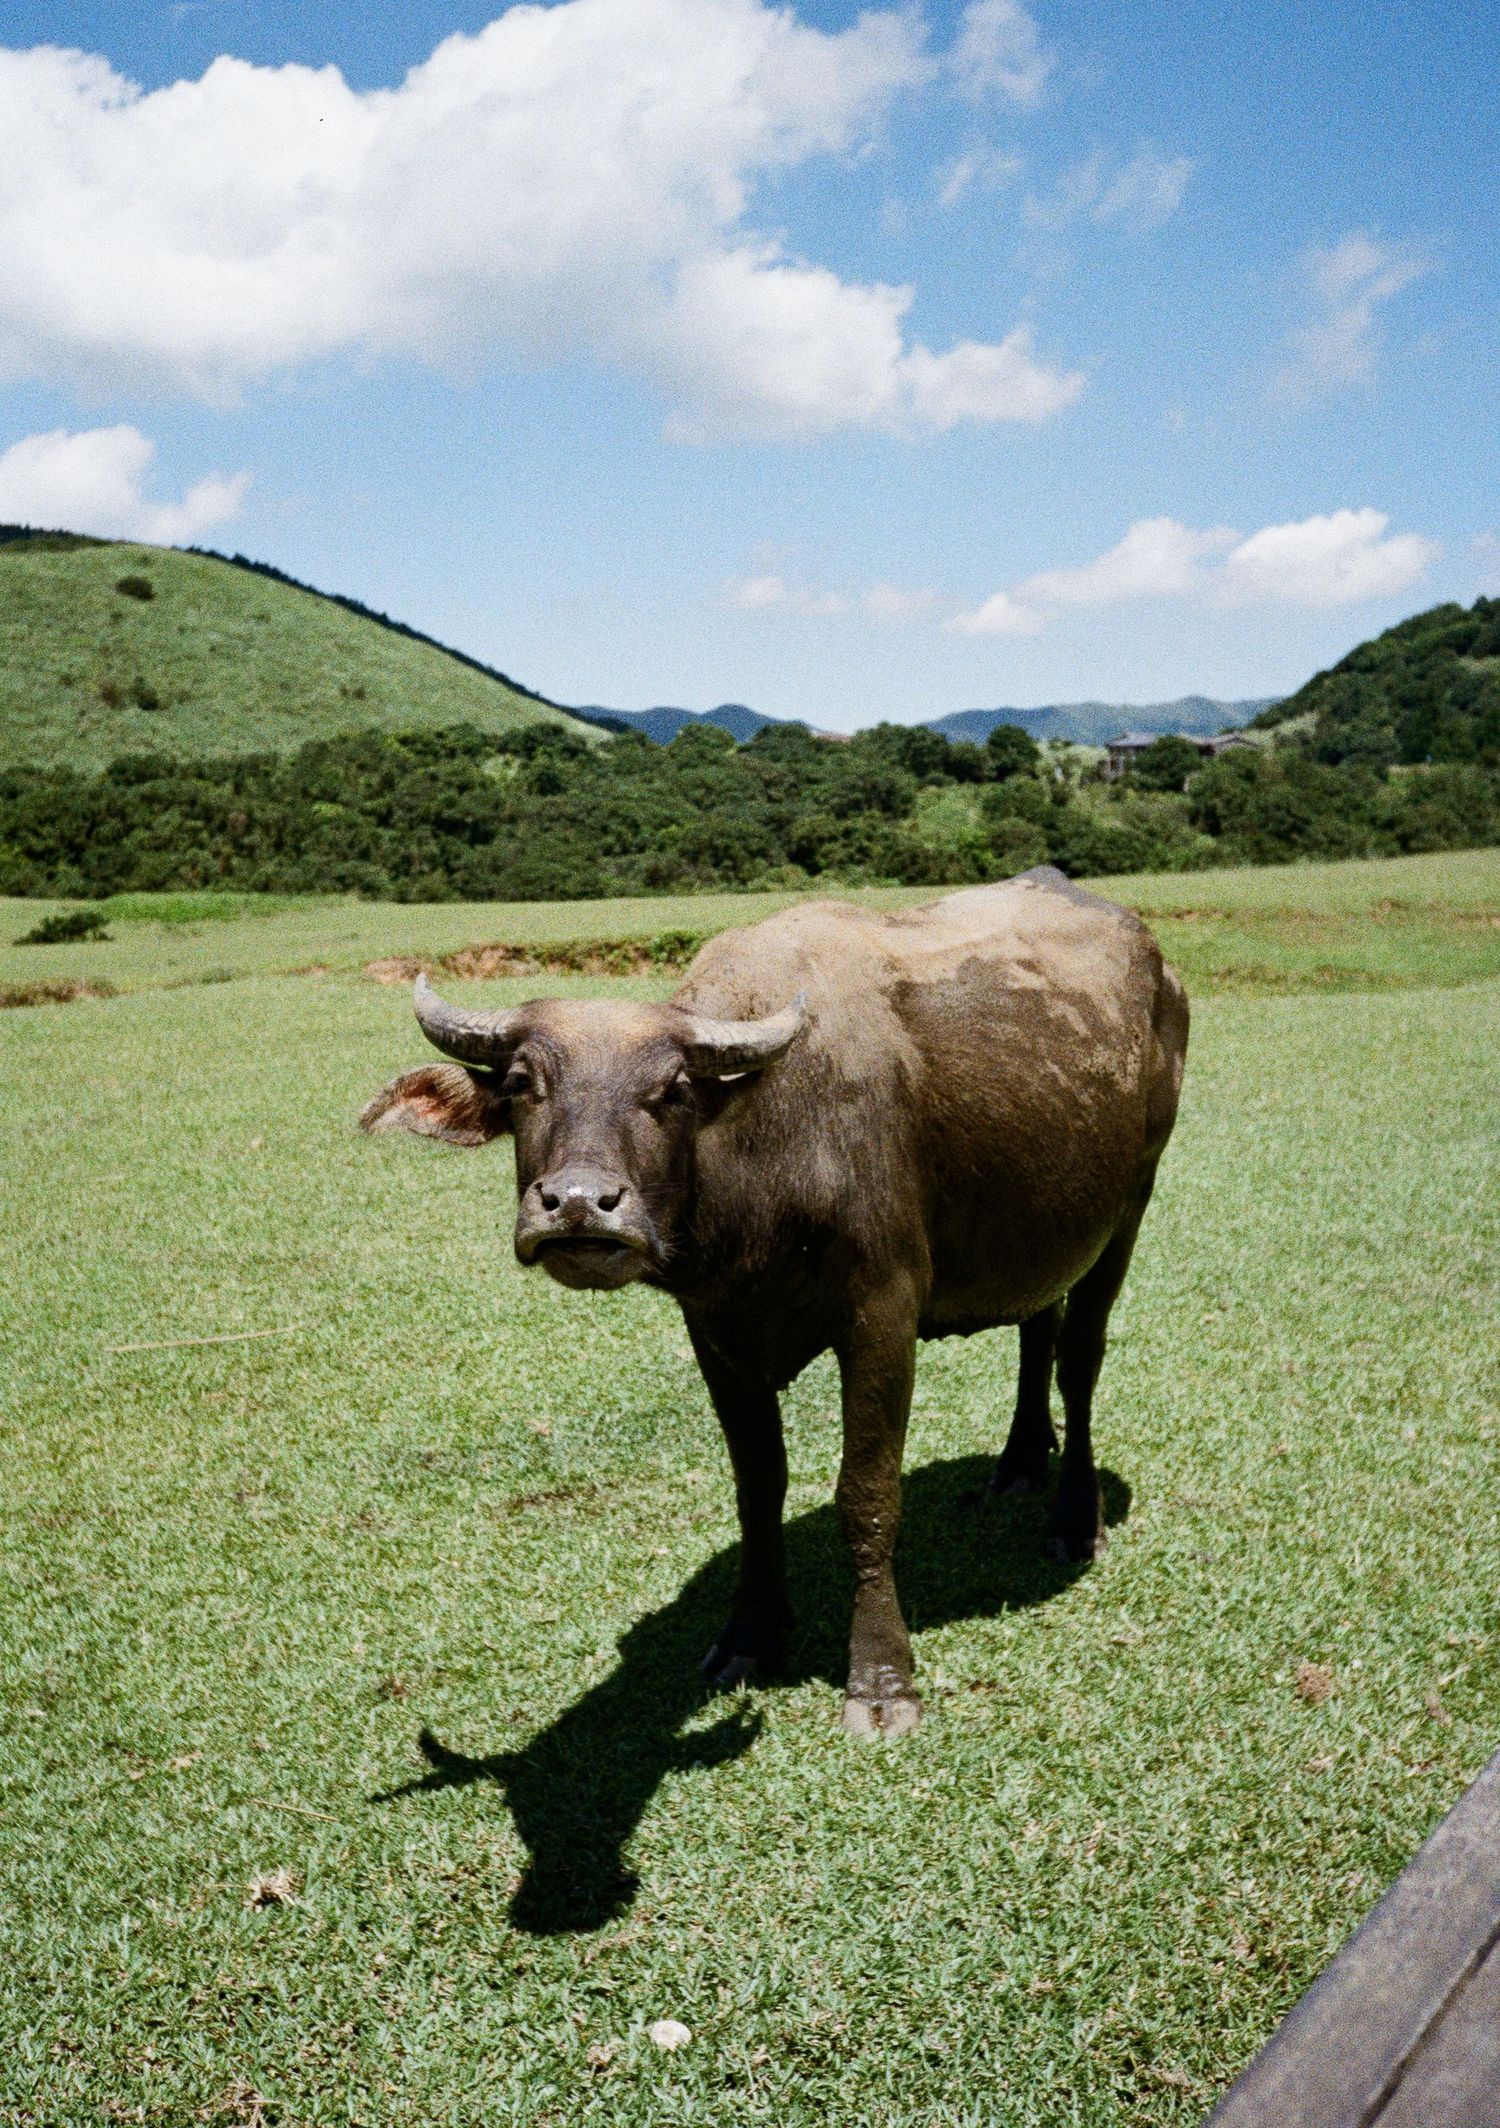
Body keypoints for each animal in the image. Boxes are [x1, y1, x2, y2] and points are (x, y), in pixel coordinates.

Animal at [362, 867, 1188, 1735]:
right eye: (524, 1085)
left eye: (672, 1089)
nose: (580, 1204)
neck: (767, 1171)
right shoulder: (716, 1333)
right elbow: (757, 1488)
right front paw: (750, 1637)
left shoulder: (882, 1315)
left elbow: (867, 1494)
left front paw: (882, 1680)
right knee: (1038, 1325)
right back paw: (1022, 1461)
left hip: (1132, 1201)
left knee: (1079, 1359)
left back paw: (1074, 1518)